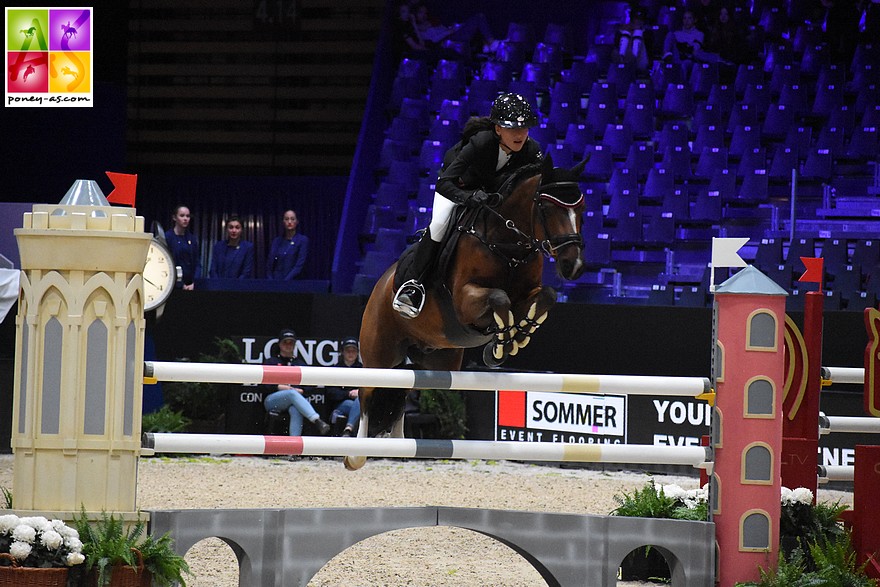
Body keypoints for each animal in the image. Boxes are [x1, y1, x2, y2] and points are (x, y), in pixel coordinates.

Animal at [346, 155, 592, 468]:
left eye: (581, 209)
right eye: (547, 208)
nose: (574, 266)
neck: (507, 244)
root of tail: (380, 285)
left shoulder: (527, 294)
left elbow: (544, 297)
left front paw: (515, 337)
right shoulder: (465, 300)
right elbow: (499, 298)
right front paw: (501, 345)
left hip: (437, 360)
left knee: (405, 384)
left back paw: (398, 443)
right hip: (380, 352)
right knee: (368, 390)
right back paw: (356, 455)